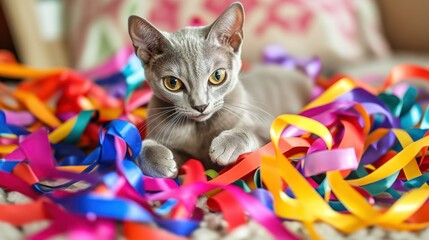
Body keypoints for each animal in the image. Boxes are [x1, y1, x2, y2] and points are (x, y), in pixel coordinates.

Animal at [127, 2, 310, 178]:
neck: (199, 129)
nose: (200, 106)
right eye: (172, 83)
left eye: (217, 76)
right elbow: (142, 148)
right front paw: (158, 160)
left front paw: (227, 145)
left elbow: (250, 132)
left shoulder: (264, 128)